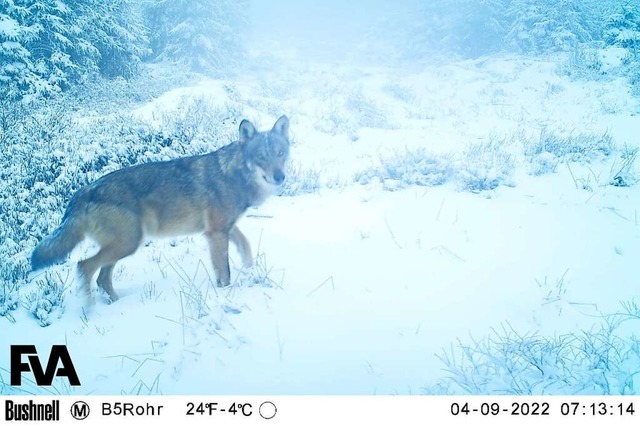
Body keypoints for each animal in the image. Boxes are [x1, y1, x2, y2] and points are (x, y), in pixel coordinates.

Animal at [30, 115, 290, 304]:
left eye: (280, 153)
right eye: (260, 157)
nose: (280, 177)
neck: (233, 175)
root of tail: (82, 192)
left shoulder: (225, 229)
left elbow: (246, 246)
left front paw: (251, 272)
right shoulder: (216, 233)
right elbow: (224, 272)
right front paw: (226, 294)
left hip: (124, 246)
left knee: (102, 278)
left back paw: (116, 304)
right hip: (128, 243)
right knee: (84, 267)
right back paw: (90, 308)